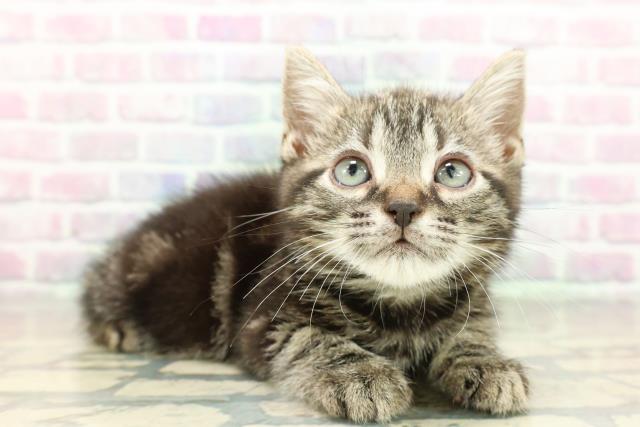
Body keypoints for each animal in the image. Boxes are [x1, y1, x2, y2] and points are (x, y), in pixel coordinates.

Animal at [82, 47, 529, 423]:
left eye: (452, 172)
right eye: (352, 170)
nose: (403, 207)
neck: (400, 307)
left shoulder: (474, 304)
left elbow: (471, 332)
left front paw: (486, 362)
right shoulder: (262, 320)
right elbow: (309, 338)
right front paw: (359, 374)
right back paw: (119, 329)